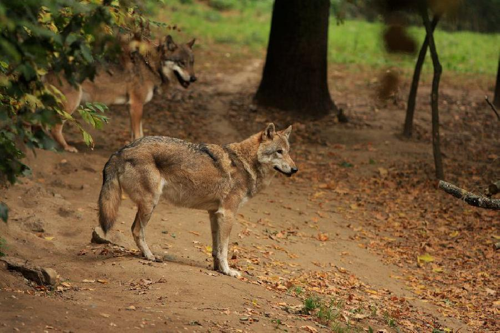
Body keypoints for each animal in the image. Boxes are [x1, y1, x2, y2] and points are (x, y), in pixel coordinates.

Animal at [46, 34, 195, 152]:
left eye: (192, 63)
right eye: (182, 63)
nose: (194, 78)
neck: (150, 65)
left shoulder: (132, 107)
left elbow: (136, 134)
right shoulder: (136, 105)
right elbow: (139, 134)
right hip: (71, 105)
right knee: (54, 128)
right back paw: (67, 147)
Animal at [99, 123, 298, 276]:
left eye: (288, 152)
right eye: (279, 151)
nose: (295, 169)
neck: (246, 164)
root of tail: (121, 150)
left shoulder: (214, 214)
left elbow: (216, 248)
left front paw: (218, 269)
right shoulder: (228, 214)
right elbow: (225, 248)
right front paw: (228, 271)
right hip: (150, 203)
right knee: (136, 230)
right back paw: (150, 256)